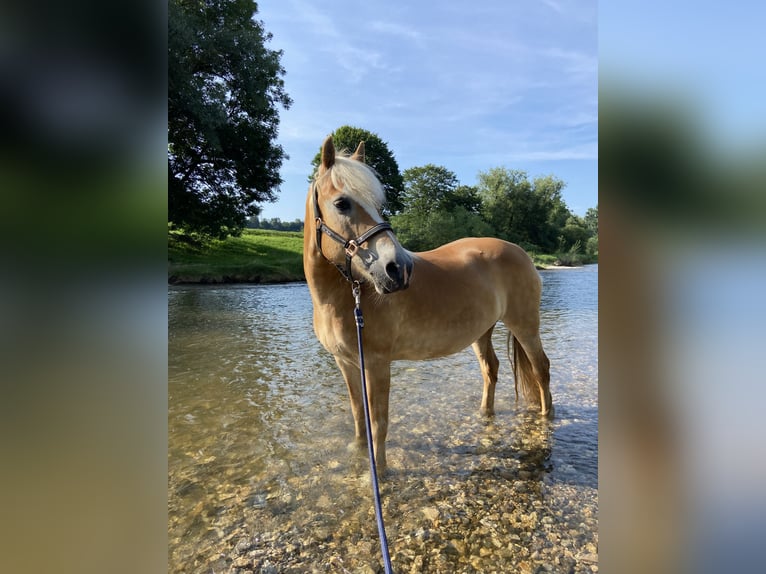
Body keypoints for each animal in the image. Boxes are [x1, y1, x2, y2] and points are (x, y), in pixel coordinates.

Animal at [304, 137, 552, 470]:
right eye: (342, 203)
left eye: (378, 204)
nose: (398, 269)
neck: (344, 299)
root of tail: (521, 252)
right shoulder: (345, 363)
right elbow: (359, 416)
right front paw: (360, 457)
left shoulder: (376, 364)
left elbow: (378, 422)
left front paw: (380, 471)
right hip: (482, 331)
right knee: (491, 369)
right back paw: (484, 415)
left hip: (525, 325)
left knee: (541, 370)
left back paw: (546, 419)